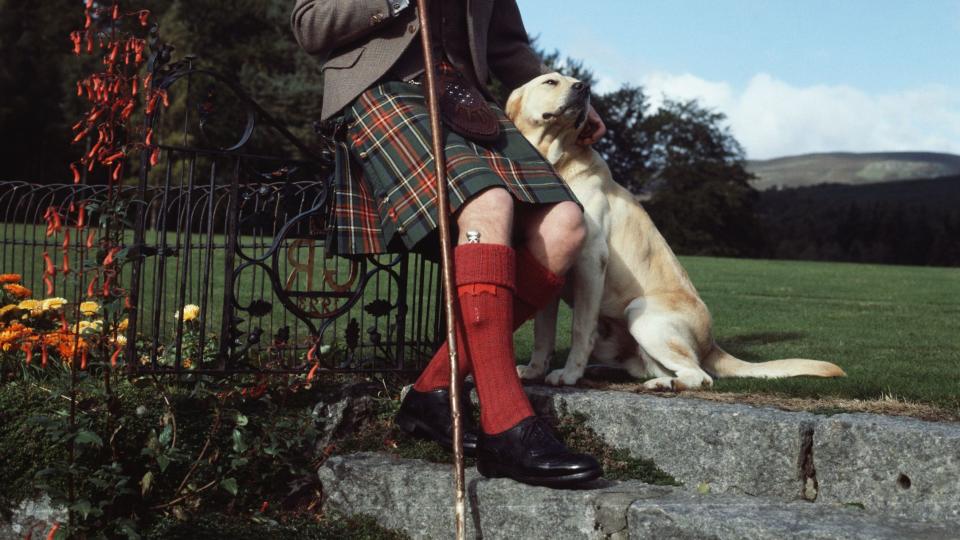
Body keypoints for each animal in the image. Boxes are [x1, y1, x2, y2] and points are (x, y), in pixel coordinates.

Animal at [506, 74, 844, 390]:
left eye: (574, 81)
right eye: (551, 81)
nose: (584, 87)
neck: (555, 160)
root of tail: (712, 344)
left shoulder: (591, 260)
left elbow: (579, 329)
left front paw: (569, 375)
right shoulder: (551, 260)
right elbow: (543, 332)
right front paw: (535, 371)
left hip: (640, 314)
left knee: (699, 376)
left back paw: (662, 385)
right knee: (649, 367)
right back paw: (608, 372)